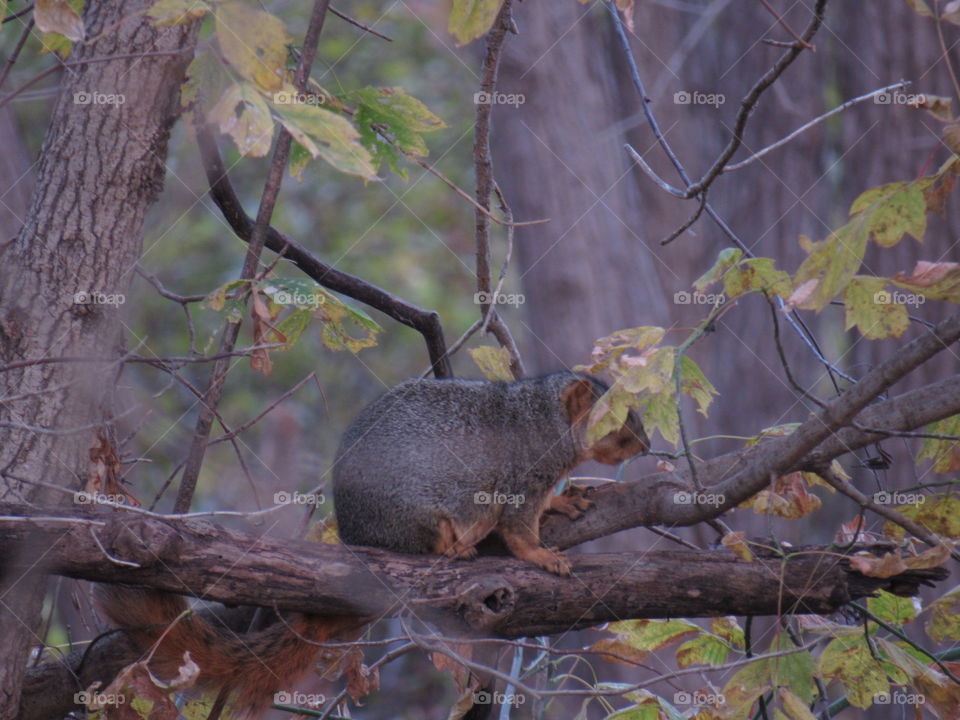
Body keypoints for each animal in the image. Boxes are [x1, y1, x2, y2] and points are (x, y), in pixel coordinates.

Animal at [97, 372, 648, 716]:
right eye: (614, 418)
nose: (646, 447)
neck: (543, 421)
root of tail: (357, 534)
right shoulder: (517, 481)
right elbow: (518, 530)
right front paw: (542, 556)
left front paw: (564, 502)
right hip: (418, 516)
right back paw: (455, 549)